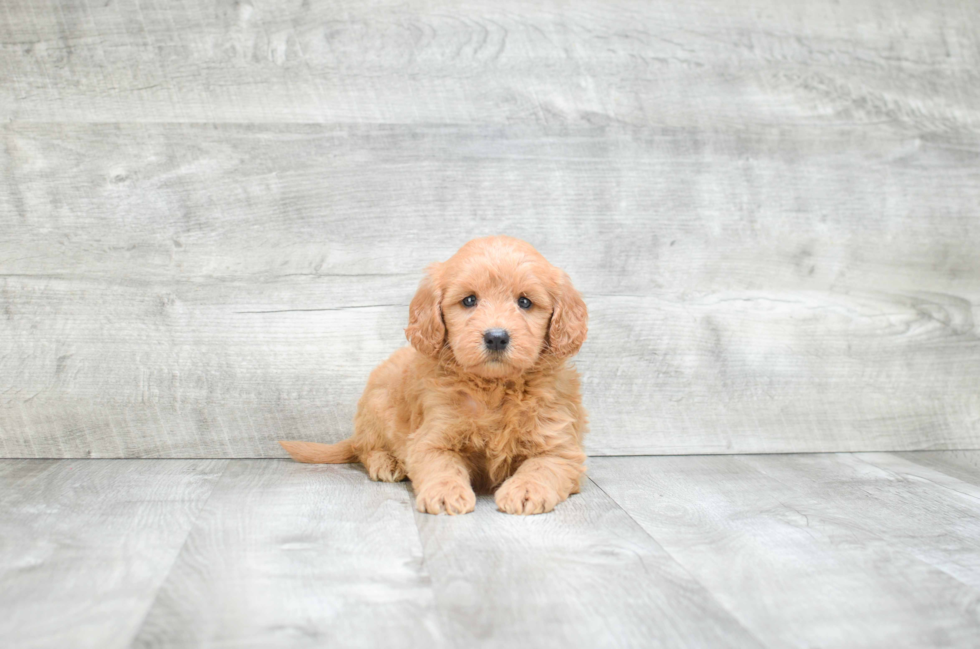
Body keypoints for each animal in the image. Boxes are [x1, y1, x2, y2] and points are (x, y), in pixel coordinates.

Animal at [282, 235, 588, 512]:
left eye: (525, 302)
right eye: (469, 300)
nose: (496, 337)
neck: (494, 387)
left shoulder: (560, 445)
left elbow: (542, 467)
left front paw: (525, 491)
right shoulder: (432, 436)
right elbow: (441, 466)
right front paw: (445, 493)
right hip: (376, 407)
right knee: (365, 447)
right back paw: (386, 462)